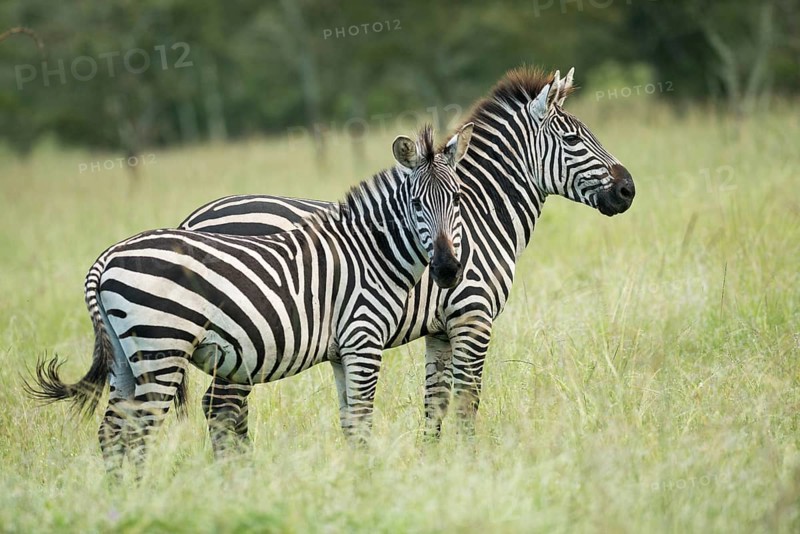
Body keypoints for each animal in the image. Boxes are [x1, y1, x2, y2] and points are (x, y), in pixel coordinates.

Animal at [26, 123, 475, 473]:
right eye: (416, 203)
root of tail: (106, 257)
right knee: (139, 432)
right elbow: (363, 420)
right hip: (161, 347)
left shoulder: (341, 351)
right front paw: (366, 482)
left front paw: (355, 478)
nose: (448, 270)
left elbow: (350, 421)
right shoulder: (364, 340)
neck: (368, 251)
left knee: (112, 431)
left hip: (124, 356)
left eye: (456, 200)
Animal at [180, 67, 636, 450]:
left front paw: (431, 463)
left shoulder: (440, 330)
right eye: (573, 140)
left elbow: (436, 402)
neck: (478, 217)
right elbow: (468, 401)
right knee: (222, 407)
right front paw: (471, 463)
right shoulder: (472, 317)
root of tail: (194, 217)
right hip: (249, 339)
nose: (628, 190)